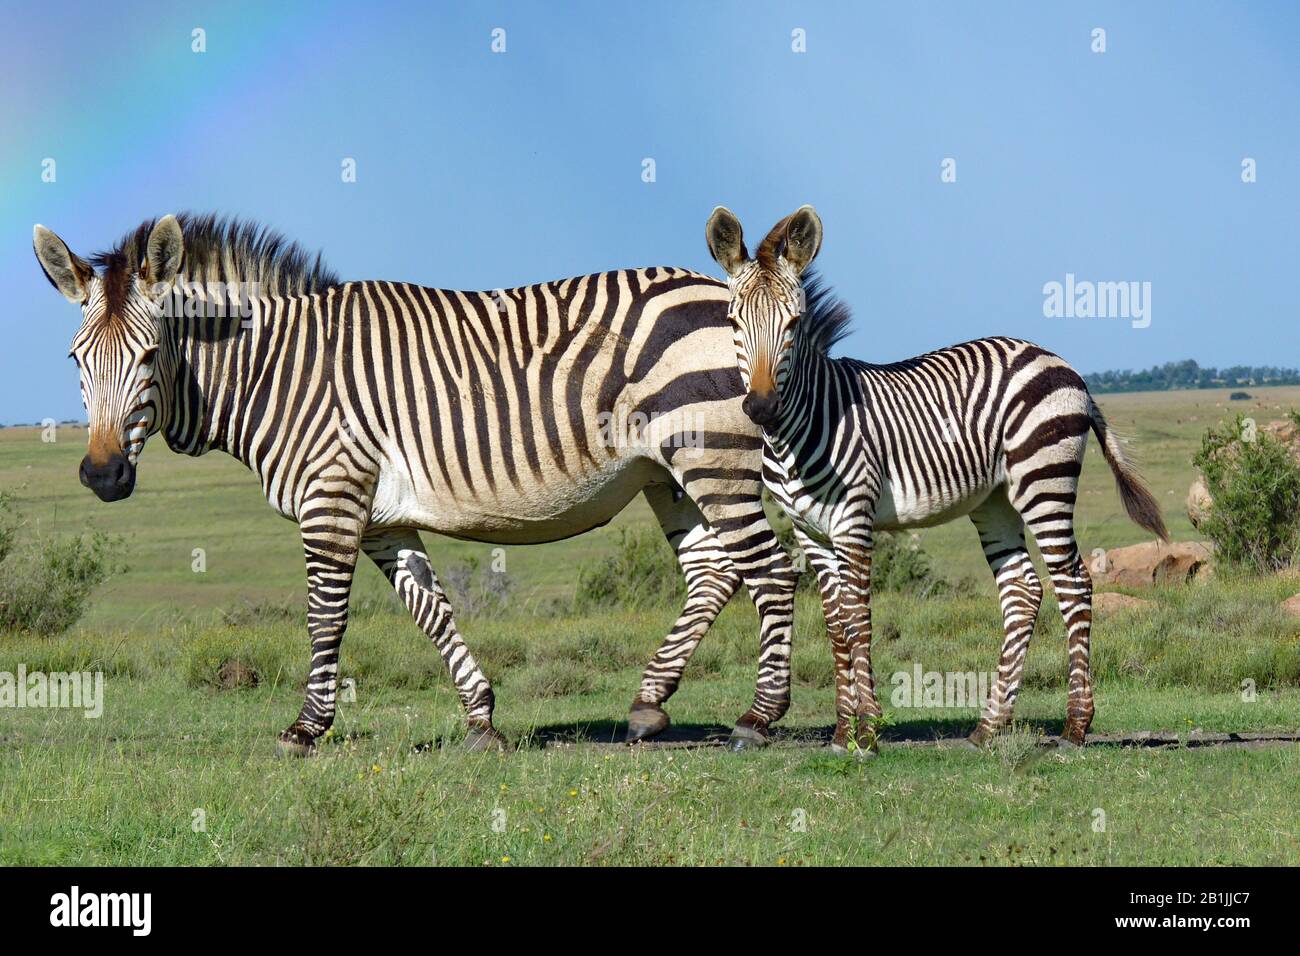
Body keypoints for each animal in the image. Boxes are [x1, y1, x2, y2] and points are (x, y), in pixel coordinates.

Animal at [32, 213, 790, 749]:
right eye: (75, 359)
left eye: (149, 354)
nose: (102, 474)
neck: (280, 374)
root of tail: (726, 290)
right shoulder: (382, 519)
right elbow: (431, 610)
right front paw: (481, 720)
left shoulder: (333, 497)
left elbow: (325, 616)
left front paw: (305, 729)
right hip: (669, 474)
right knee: (715, 572)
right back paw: (647, 706)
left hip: (712, 457)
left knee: (770, 568)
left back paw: (758, 718)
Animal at [707, 204, 1175, 754]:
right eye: (734, 321)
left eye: (794, 323)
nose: (761, 408)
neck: (803, 426)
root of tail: (1060, 361)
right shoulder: (810, 533)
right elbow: (836, 627)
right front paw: (843, 732)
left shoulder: (854, 521)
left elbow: (858, 620)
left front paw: (868, 732)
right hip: (995, 500)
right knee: (1023, 590)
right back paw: (988, 728)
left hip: (1044, 481)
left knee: (1074, 584)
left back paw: (1075, 728)